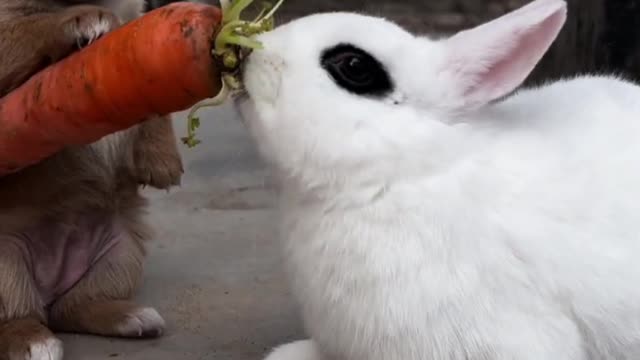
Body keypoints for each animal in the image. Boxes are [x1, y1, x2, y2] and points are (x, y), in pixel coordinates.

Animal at [0, 0, 184, 360]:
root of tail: (50, 285)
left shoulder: (136, 31)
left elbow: (152, 94)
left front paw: (162, 160)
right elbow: (31, 27)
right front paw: (83, 18)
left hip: (122, 250)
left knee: (73, 306)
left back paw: (130, 316)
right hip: (4, 268)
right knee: (19, 315)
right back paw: (32, 341)